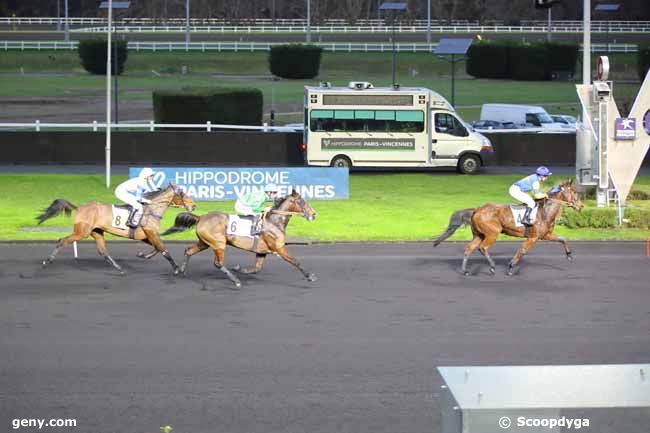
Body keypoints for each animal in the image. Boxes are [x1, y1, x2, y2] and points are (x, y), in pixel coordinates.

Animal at [37, 181, 195, 274]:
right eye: (182, 193)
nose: (193, 205)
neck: (151, 210)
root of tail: (80, 208)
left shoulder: (147, 236)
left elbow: (158, 248)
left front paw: (142, 255)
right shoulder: (151, 234)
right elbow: (163, 249)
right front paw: (176, 269)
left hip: (96, 232)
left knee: (103, 251)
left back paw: (119, 268)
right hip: (81, 232)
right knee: (62, 241)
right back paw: (47, 261)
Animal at [161, 188, 316, 286]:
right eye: (302, 201)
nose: (314, 214)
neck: (274, 222)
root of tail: (201, 217)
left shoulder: (262, 251)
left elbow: (256, 268)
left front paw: (238, 268)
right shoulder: (279, 248)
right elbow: (295, 261)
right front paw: (310, 276)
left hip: (204, 242)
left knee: (189, 251)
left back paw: (181, 271)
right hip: (219, 243)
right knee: (218, 263)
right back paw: (236, 281)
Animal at [432, 180, 580, 276]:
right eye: (574, 192)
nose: (581, 206)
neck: (544, 211)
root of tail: (477, 209)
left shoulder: (545, 235)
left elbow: (563, 239)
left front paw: (569, 255)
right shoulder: (533, 237)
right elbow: (522, 251)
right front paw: (510, 267)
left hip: (479, 234)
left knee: (469, 248)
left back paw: (465, 270)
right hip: (493, 233)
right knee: (482, 248)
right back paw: (492, 266)